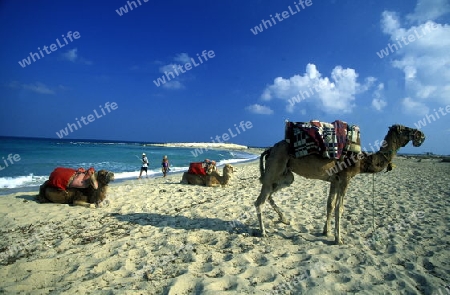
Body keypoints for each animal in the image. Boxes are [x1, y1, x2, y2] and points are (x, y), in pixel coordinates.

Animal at [256, 124, 426, 245]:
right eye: (405, 128)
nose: (421, 135)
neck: (361, 161)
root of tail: (270, 149)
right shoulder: (345, 178)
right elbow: (340, 208)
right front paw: (339, 239)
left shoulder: (335, 181)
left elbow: (330, 205)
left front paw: (326, 232)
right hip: (275, 166)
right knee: (259, 201)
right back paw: (263, 232)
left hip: (286, 175)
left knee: (270, 193)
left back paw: (284, 219)